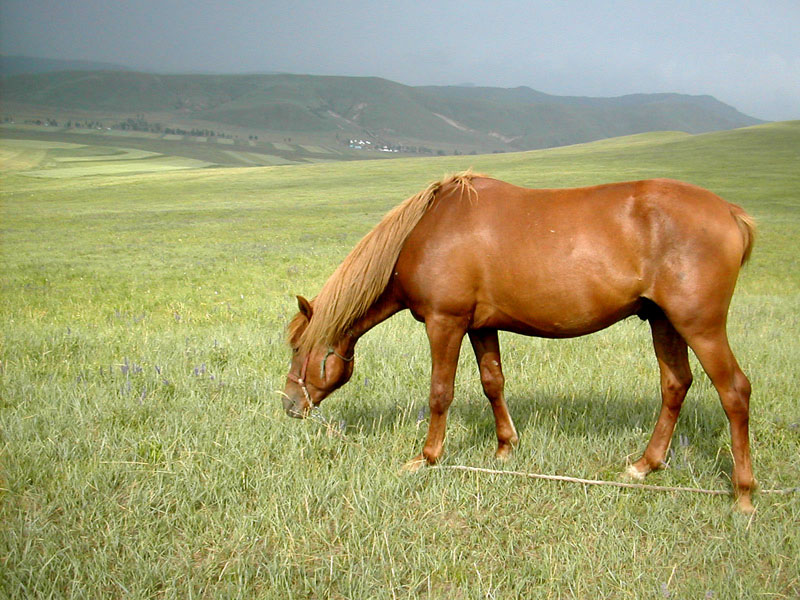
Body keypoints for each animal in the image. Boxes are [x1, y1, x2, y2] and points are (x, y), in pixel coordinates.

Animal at [284, 171, 760, 512]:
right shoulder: (479, 326)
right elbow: (493, 382)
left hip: (699, 326)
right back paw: (645, 465)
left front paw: (428, 457)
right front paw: (504, 448)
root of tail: (730, 211)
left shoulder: (444, 323)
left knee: (734, 392)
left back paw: (743, 494)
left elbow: (440, 393)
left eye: (297, 348)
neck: (426, 231)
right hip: (663, 321)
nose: (289, 404)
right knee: (675, 384)